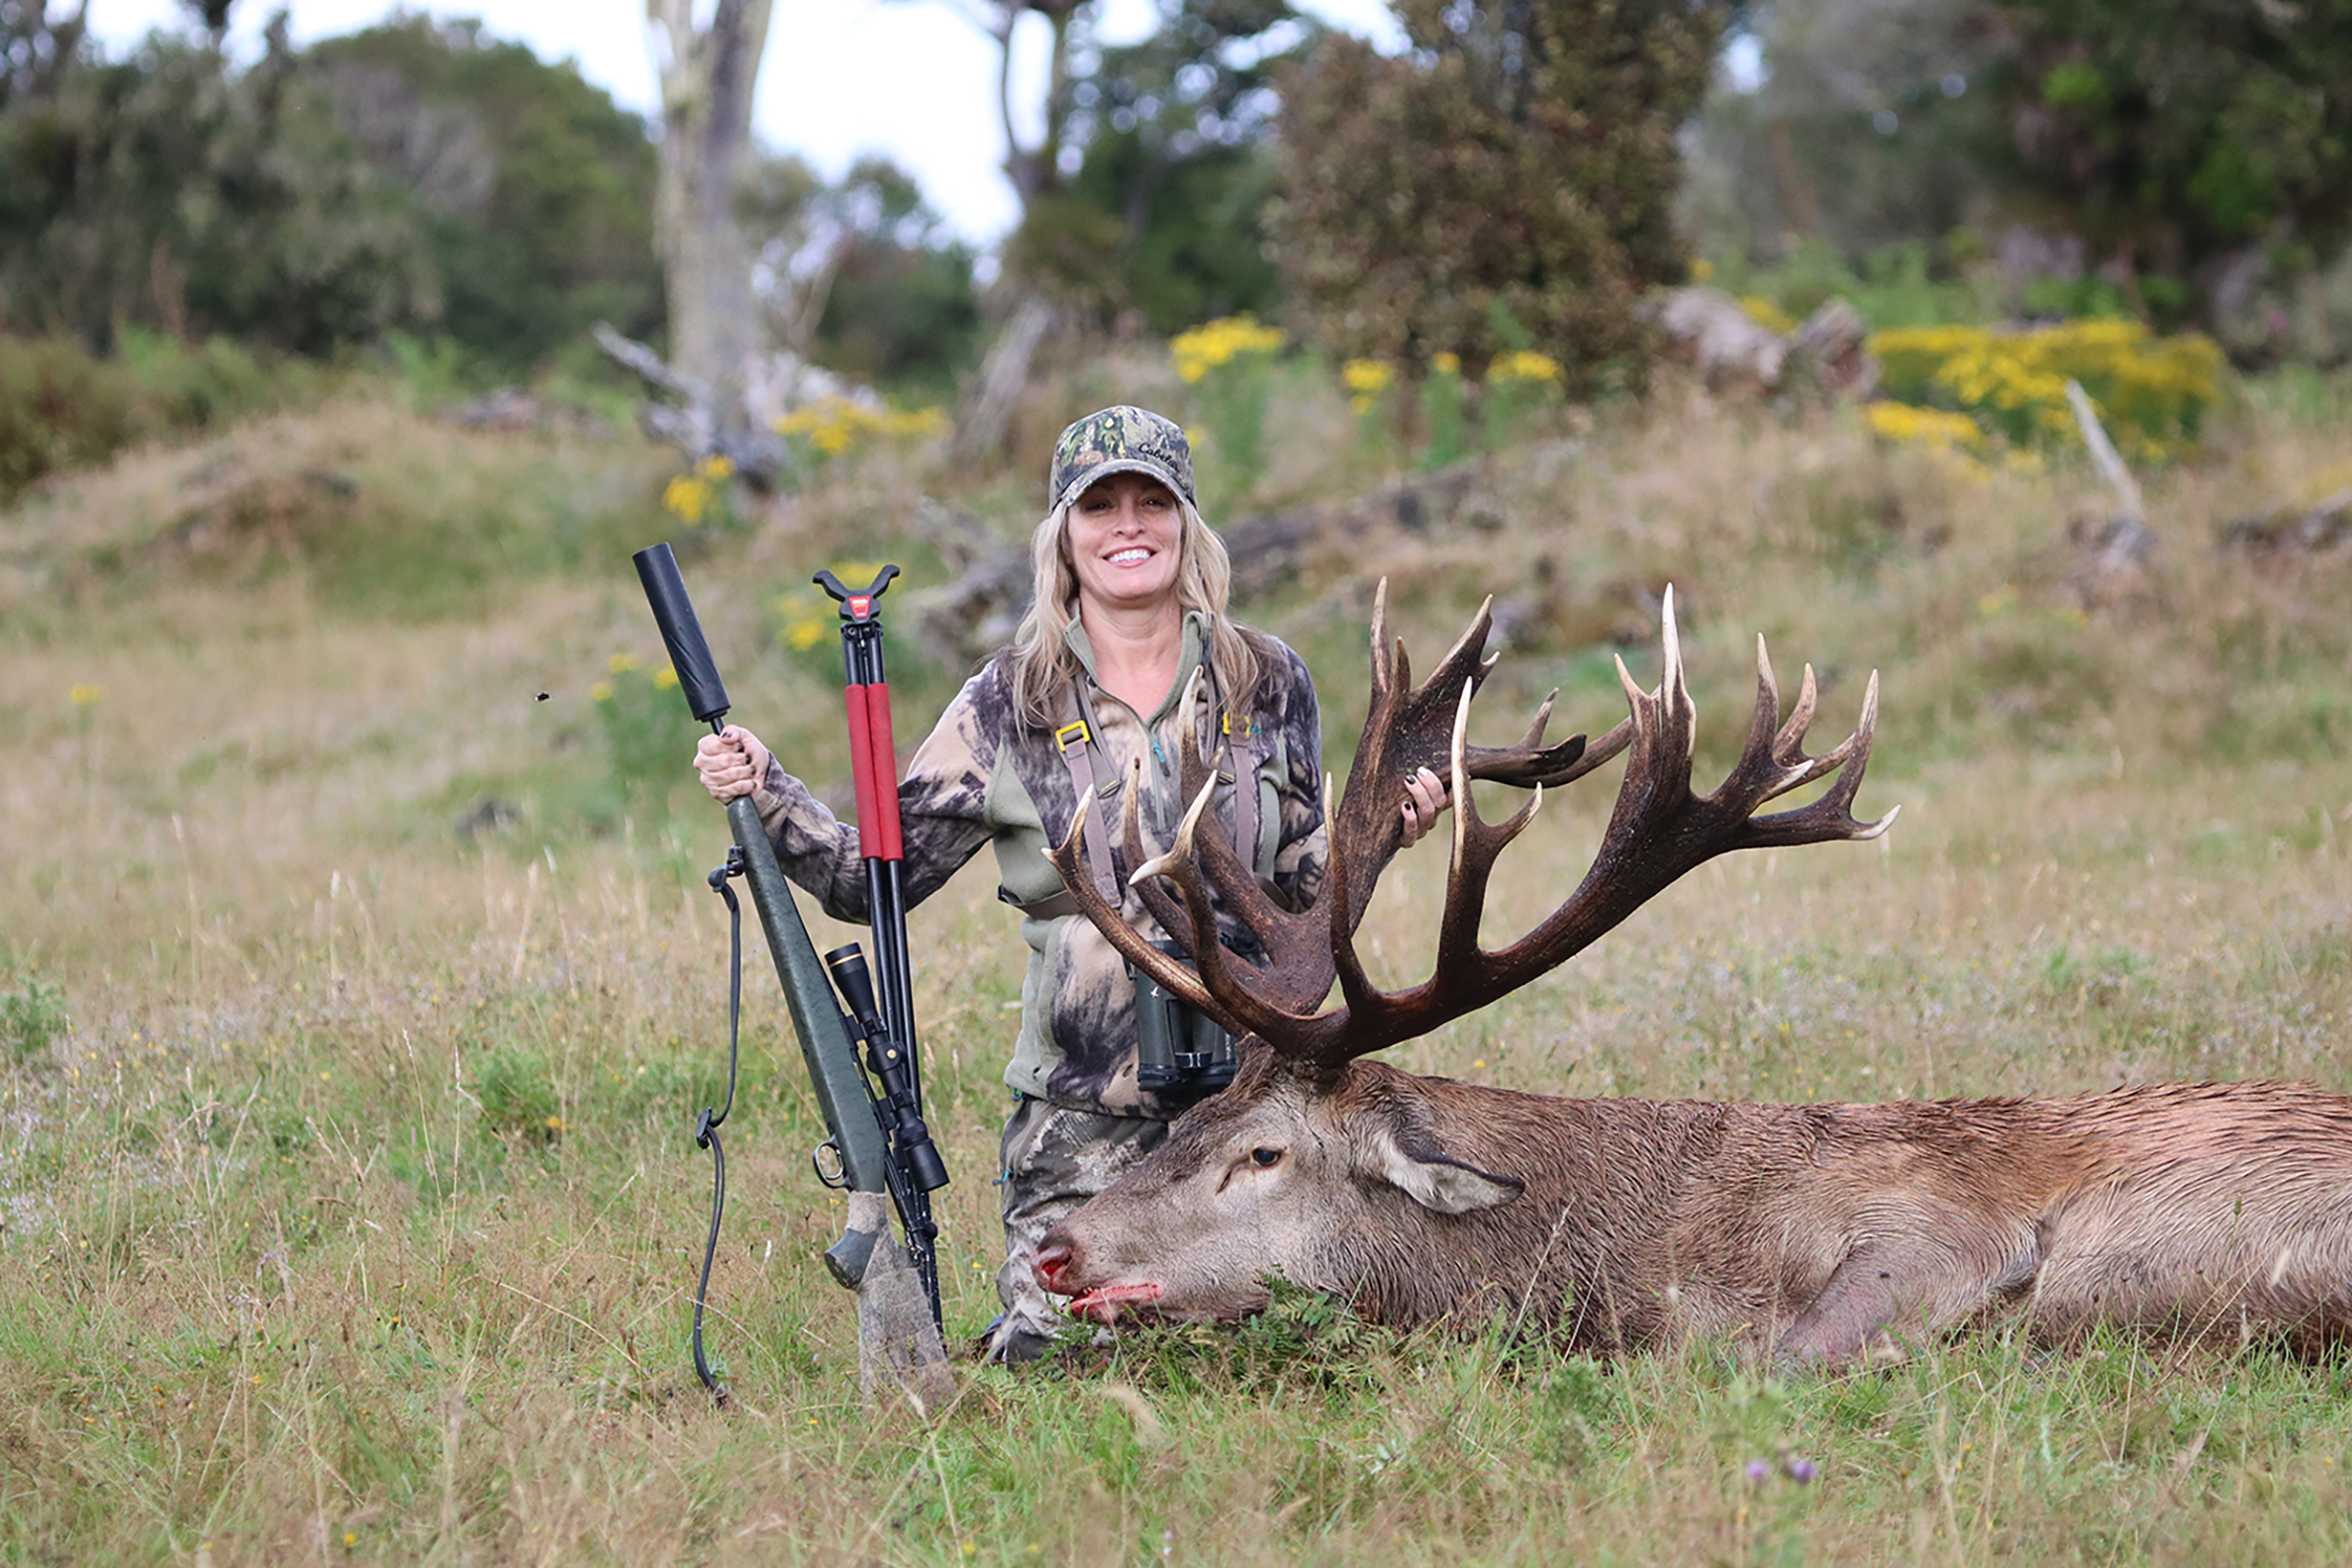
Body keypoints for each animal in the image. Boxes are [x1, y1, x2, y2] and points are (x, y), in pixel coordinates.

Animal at [1031, 586, 2352, 1367]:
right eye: (1187, 1121)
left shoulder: (1932, 1222)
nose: (1054, 1249)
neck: (1660, 1250)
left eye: (1263, 1155)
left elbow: (1759, 1357)